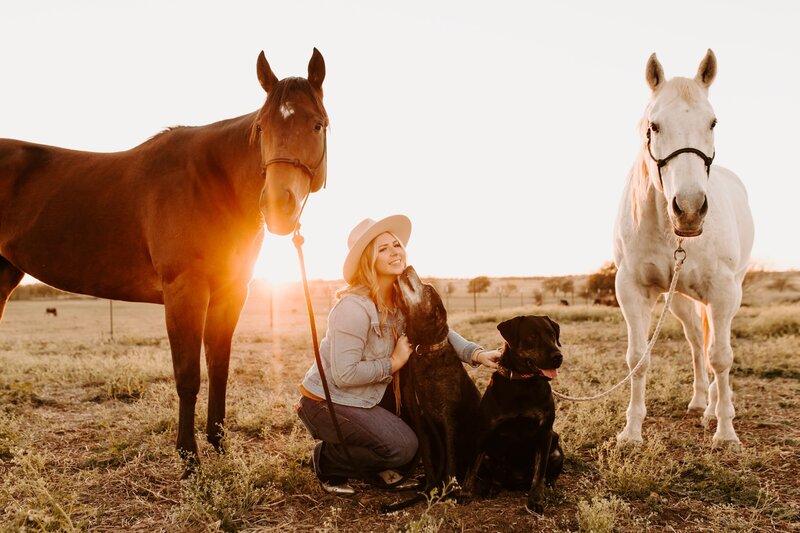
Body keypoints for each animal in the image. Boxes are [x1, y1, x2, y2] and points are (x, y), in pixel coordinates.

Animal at [0, 48, 330, 474]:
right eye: (261, 128)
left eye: (317, 125)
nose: (277, 206)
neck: (210, 182)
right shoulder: (184, 293)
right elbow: (188, 376)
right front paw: (189, 458)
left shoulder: (231, 294)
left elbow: (219, 368)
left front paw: (219, 444)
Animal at [394, 268, 482, 500]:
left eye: (427, 288)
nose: (407, 268)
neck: (425, 349)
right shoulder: (420, 420)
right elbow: (427, 457)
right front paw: (429, 487)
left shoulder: (448, 418)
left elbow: (450, 457)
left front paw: (448, 491)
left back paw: (466, 490)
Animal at [472, 314, 564, 512]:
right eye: (532, 336)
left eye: (552, 334)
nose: (558, 356)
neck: (522, 383)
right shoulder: (485, 431)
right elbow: (473, 466)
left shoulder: (545, 433)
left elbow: (539, 473)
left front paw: (535, 500)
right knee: (494, 475)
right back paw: (491, 487)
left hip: (556, 448)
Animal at [616, 50, 752, 444]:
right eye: (654, 125)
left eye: (713, 122)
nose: (690, 209)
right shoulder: (631, 289)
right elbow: (638, 358)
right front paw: (631, 430)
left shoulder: (722, 292)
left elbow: (721, 356)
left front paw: (726, 432)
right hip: (678, 299)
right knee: (695, 342)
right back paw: (699, 402)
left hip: (729, 293)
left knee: (712, 346)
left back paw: (714, 408)